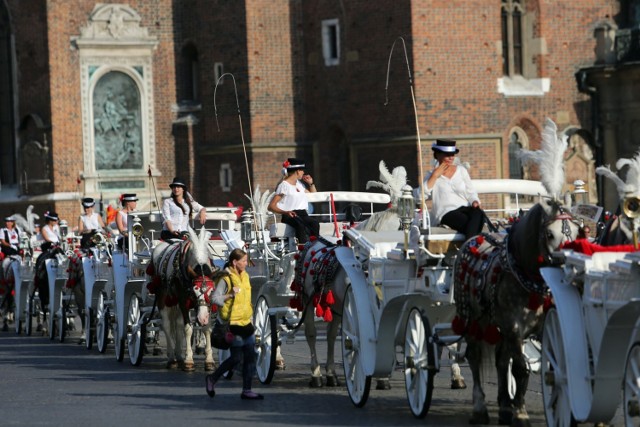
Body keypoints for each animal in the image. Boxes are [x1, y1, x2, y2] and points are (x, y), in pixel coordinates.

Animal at [148, 227, 216, 372]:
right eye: (194, 292)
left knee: (178, 325)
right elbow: (188, 329)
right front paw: (189, 360)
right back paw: (172, 358)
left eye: (211, 291)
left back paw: (179, 356)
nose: (202, 317)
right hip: (163, 297)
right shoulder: (184, 302)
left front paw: (209, 360)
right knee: (167, 325)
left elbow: (206, 328)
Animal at [450, 201, 580, 427]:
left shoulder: (541, 328)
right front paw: (521, 414)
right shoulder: (514, 328)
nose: (567, 268)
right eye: (549, 234)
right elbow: (520, 369)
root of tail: (474, 238)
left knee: (501, 361)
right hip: (473, 321)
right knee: (474, 357)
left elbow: (550, 365)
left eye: (576, 231)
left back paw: (504, 408)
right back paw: (480, 408)